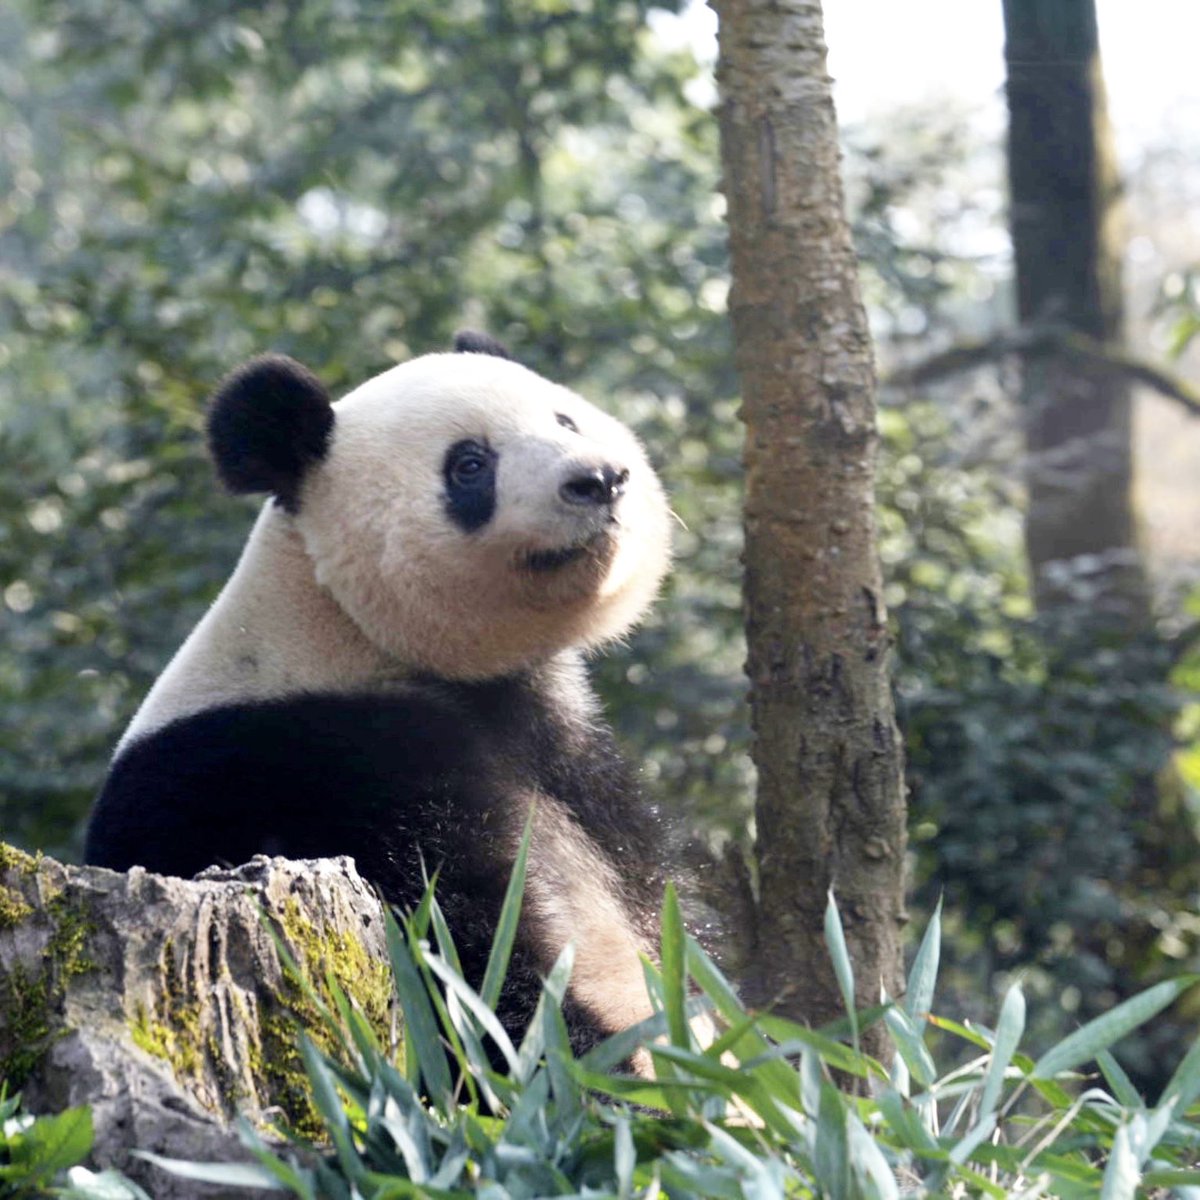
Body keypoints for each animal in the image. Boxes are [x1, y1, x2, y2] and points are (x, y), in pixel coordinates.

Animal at [87, 333, 676, 1056]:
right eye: (470, 465)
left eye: (566, 421)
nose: (598, 479)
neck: (347, 629)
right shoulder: (312, 763)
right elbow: (457, 951)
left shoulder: (573, 757)